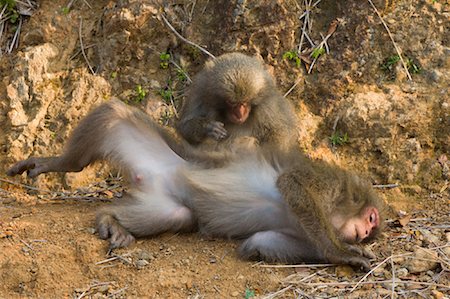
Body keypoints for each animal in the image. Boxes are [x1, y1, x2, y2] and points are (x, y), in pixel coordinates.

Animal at [7, 100, 384, 272]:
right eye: (371, 220)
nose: (366, 233)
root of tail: (150, 176)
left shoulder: (301, 230)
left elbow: (260, 242)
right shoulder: (329, 183)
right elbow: (291, 182)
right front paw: (343, 253)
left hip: (161, 198)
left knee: (179, 215)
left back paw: (111, 219)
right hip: (153, 148)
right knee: (112, 114)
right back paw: (59, 164)